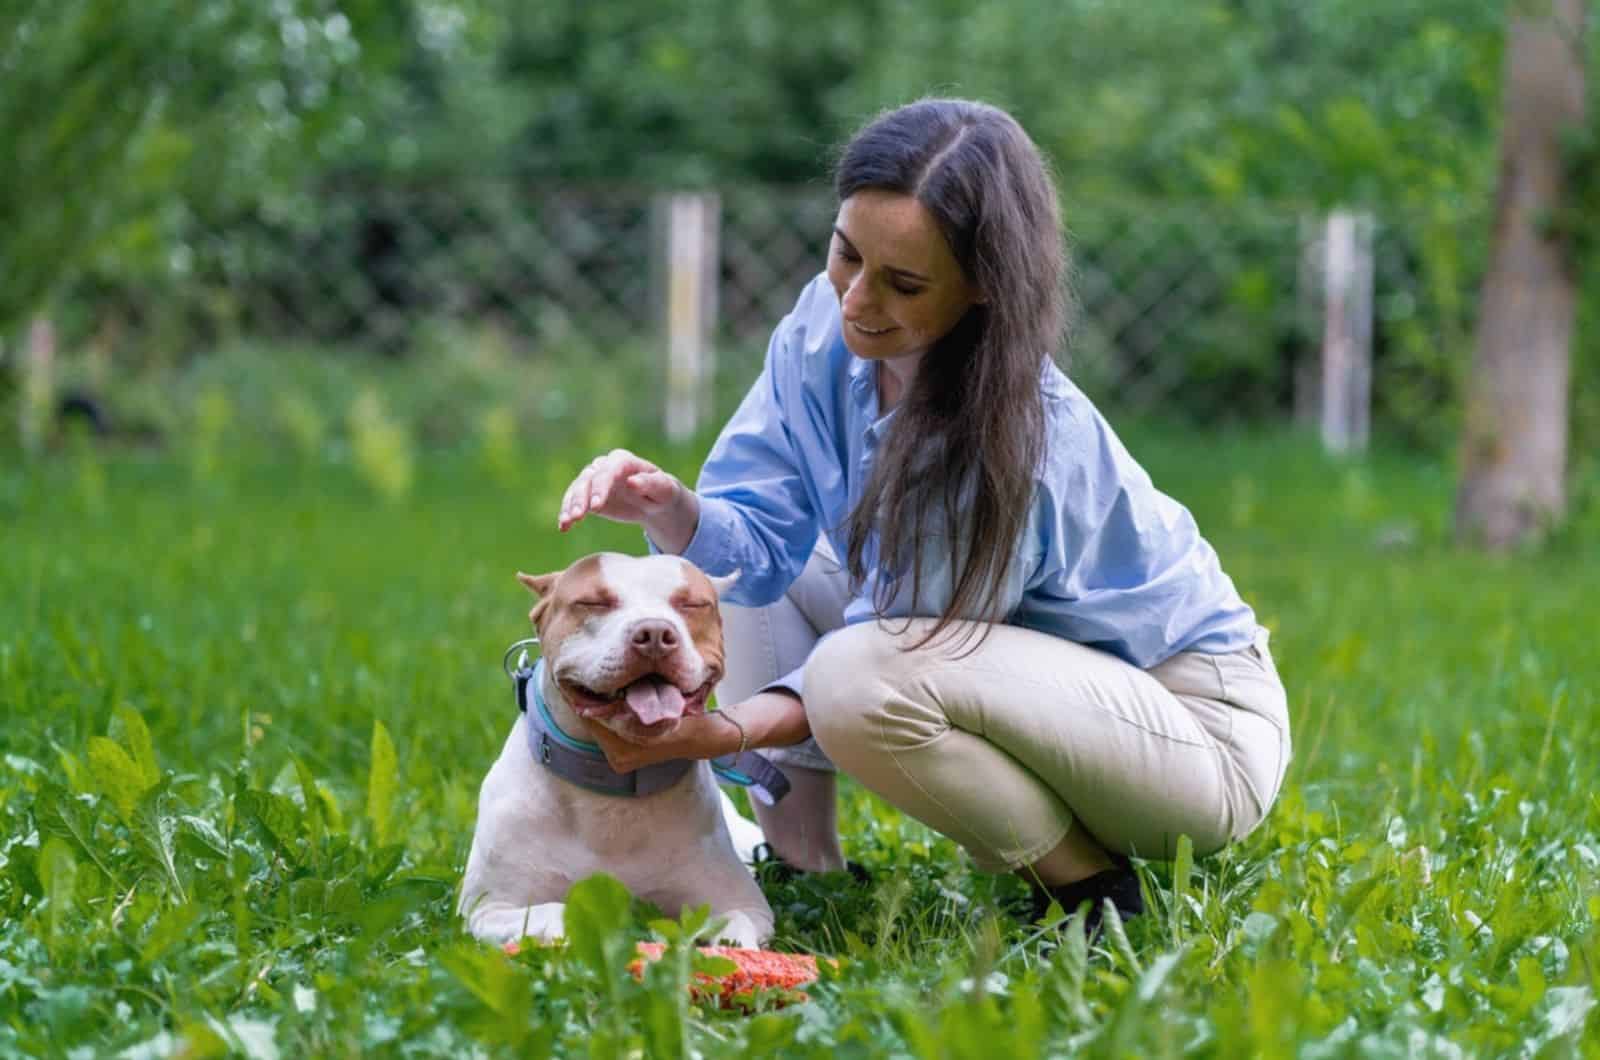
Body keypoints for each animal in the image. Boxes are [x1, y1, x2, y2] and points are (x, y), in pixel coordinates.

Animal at [457, 550, 774, 947]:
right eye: (593, 602)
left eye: (692, 604)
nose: (654, 634)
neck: (612, 797)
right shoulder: (489, 910)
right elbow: (551, 910)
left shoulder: (748, 906)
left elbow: (735, 922)